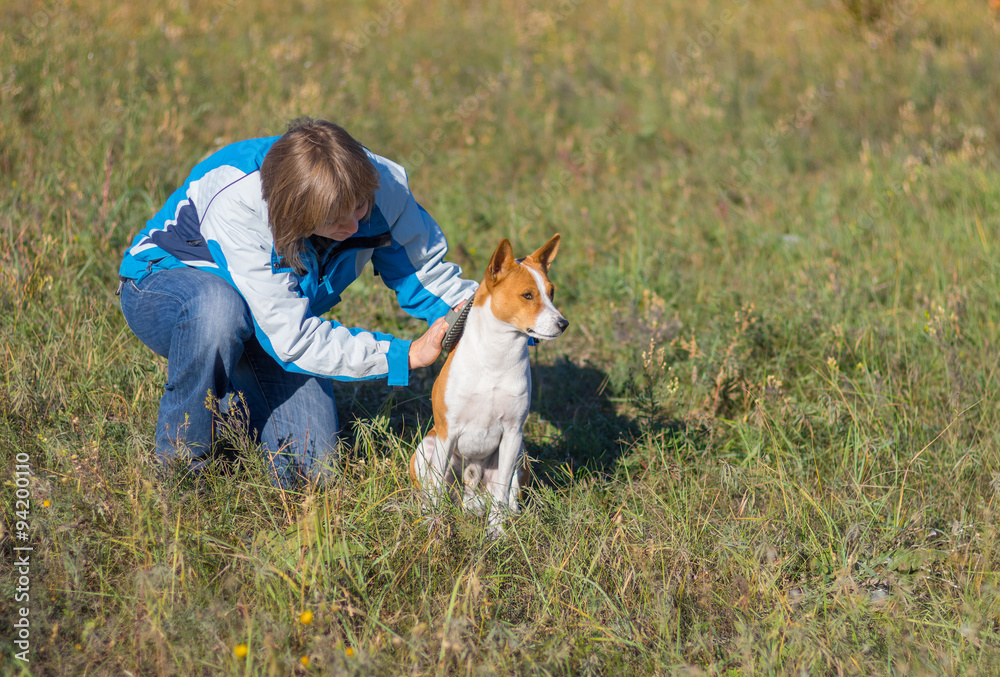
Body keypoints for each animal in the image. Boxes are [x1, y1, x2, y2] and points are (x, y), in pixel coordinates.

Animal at [410, 232, 572, 532]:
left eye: (551, 292)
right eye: (527, 295)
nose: (563, 323)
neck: (496, 358)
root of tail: (470, 492)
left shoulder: (512, 433)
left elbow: (501, 490)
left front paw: (497, 531)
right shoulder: (448, 432)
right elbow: (436, 487)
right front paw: (434, 527)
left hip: (520, 455)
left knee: (507, 495)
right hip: (428, 445)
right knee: (432, 489)